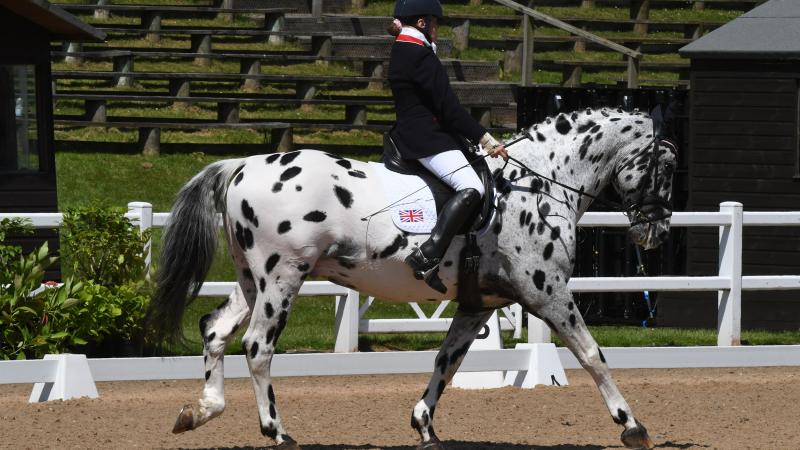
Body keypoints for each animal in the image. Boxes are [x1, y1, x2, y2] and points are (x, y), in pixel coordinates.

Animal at [148, 108, 676, 450]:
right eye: (666, 168)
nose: (656, 232)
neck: (539, 183)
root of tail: (241, 165)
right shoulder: (546, 292)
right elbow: (592, 355)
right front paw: (632, 426)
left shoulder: (479, 303)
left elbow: (448, 361)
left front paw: (424, 425)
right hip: (283, 276)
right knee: (258, 345)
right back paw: (277, 431)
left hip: (251, 280)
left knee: (215, 330)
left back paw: (201, 410)